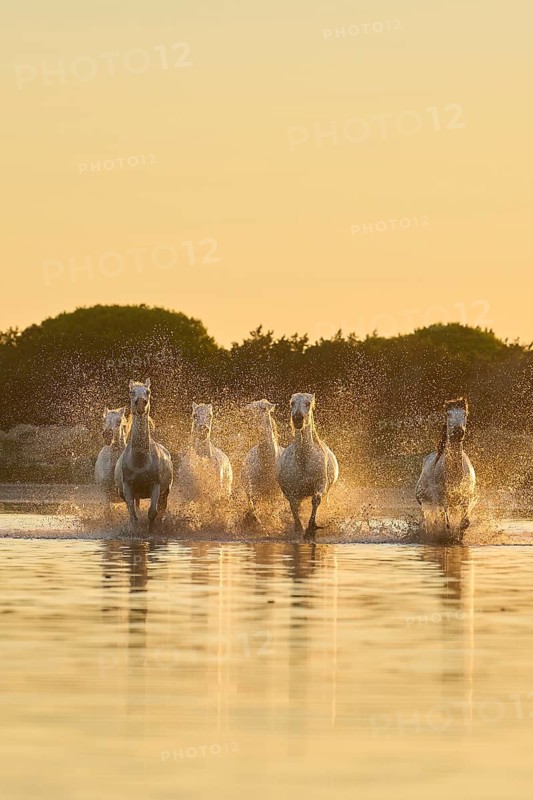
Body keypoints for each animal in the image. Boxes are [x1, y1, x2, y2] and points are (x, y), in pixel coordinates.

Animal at [114, 379, 173, 530]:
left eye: (148, 391)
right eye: (131, 391)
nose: (141, 403)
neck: (140, 461)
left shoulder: (155, 485)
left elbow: (153, 512)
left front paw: (150, 530)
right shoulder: (128, 487)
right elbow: (133, 514)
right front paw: (135, 530)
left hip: (165, 492)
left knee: (162, 508)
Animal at [276, 392, 339, 537]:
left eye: (308, 403)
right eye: (292, 403)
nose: (298, 419)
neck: (304, 461)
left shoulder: (320, 485)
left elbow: (315, 500)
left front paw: (311, 528)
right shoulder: (291, 492)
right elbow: (294, 506)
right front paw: (299, 529)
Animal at [415, 397, 477, 542]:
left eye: (465, 414)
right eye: (448, 414)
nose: (458, 432)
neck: (454, 476)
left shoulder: (465, 498)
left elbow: (465, 522)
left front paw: (458, 539)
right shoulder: (440, 499)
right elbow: (445, 523)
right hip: (426, 503)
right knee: (430, 521)